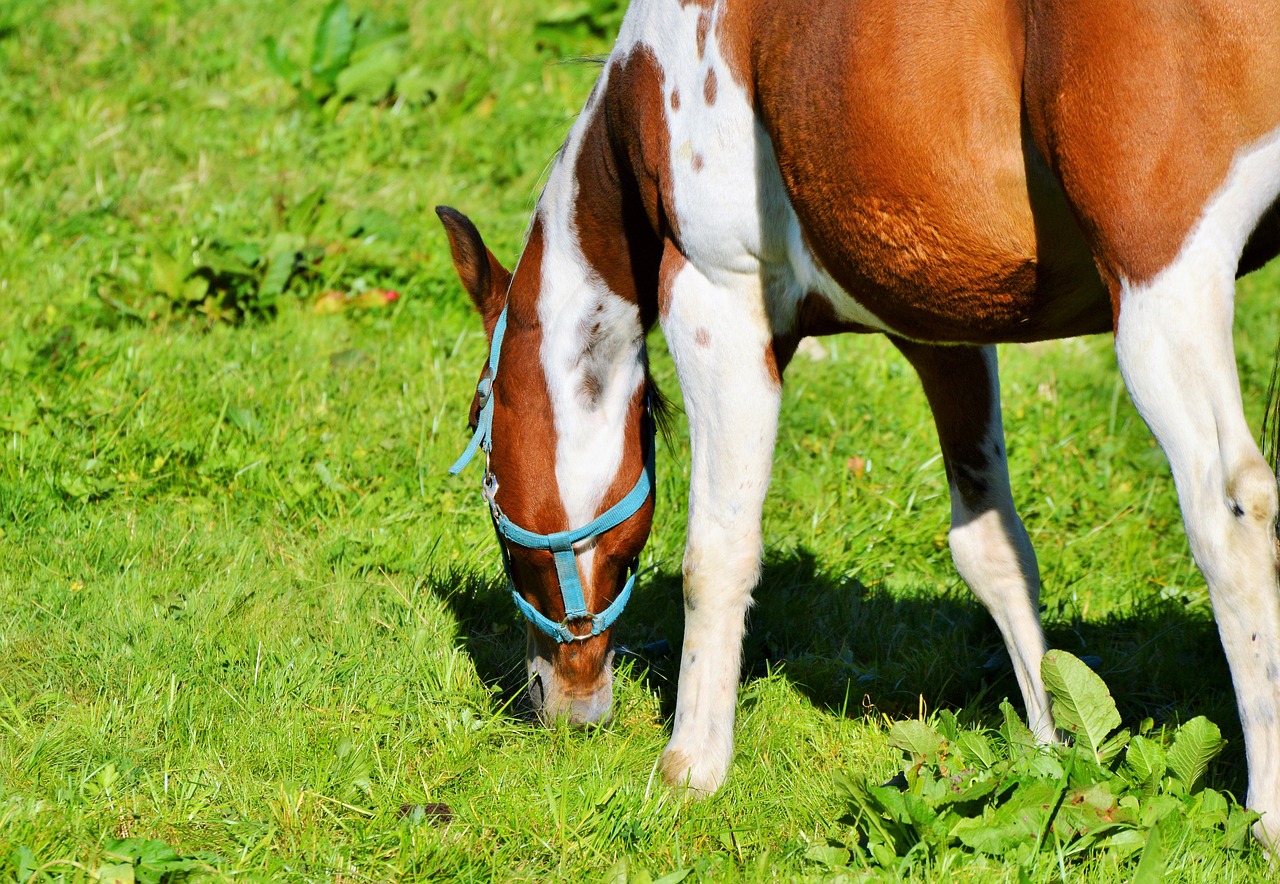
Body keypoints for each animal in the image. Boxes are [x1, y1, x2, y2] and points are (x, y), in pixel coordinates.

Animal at [435, 0, 1280, 849]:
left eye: (489, 478)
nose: (557, 703)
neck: (648, 86)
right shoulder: (943, 330)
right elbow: (993, 550)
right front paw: (1053, 754)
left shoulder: (714, 301)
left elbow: (717, 554)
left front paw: (691, 767)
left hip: (1161, 288)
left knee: (1231, 517)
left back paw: (1265, 814)